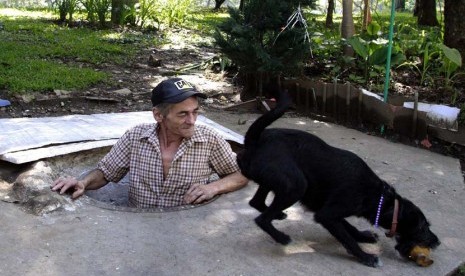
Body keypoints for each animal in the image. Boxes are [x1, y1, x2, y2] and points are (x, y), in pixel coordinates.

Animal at [237, 87, 440, 266]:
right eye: (422, 227)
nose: (437, 242)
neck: (379, 196)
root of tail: (254, 140)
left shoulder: (329, 209)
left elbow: (349, 228)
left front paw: (363, 236)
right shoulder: (327, 214)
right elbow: (347, 238)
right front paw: (366, 257)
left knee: (256, 202)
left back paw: (277, 214)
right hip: (296, 186)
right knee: (261, 219)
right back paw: (281, 237)